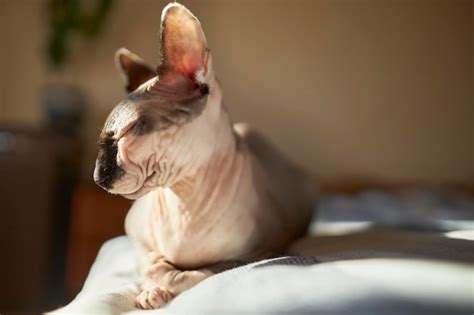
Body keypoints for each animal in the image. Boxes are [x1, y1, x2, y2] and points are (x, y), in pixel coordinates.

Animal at [93, 1, 316, 308]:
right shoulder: (136, 238)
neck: (184, 197)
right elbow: (153, 265)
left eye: (127, 131)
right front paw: (149, 291)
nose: (97, 176)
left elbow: (193, 275)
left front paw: (157, 292)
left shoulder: (254, 255)